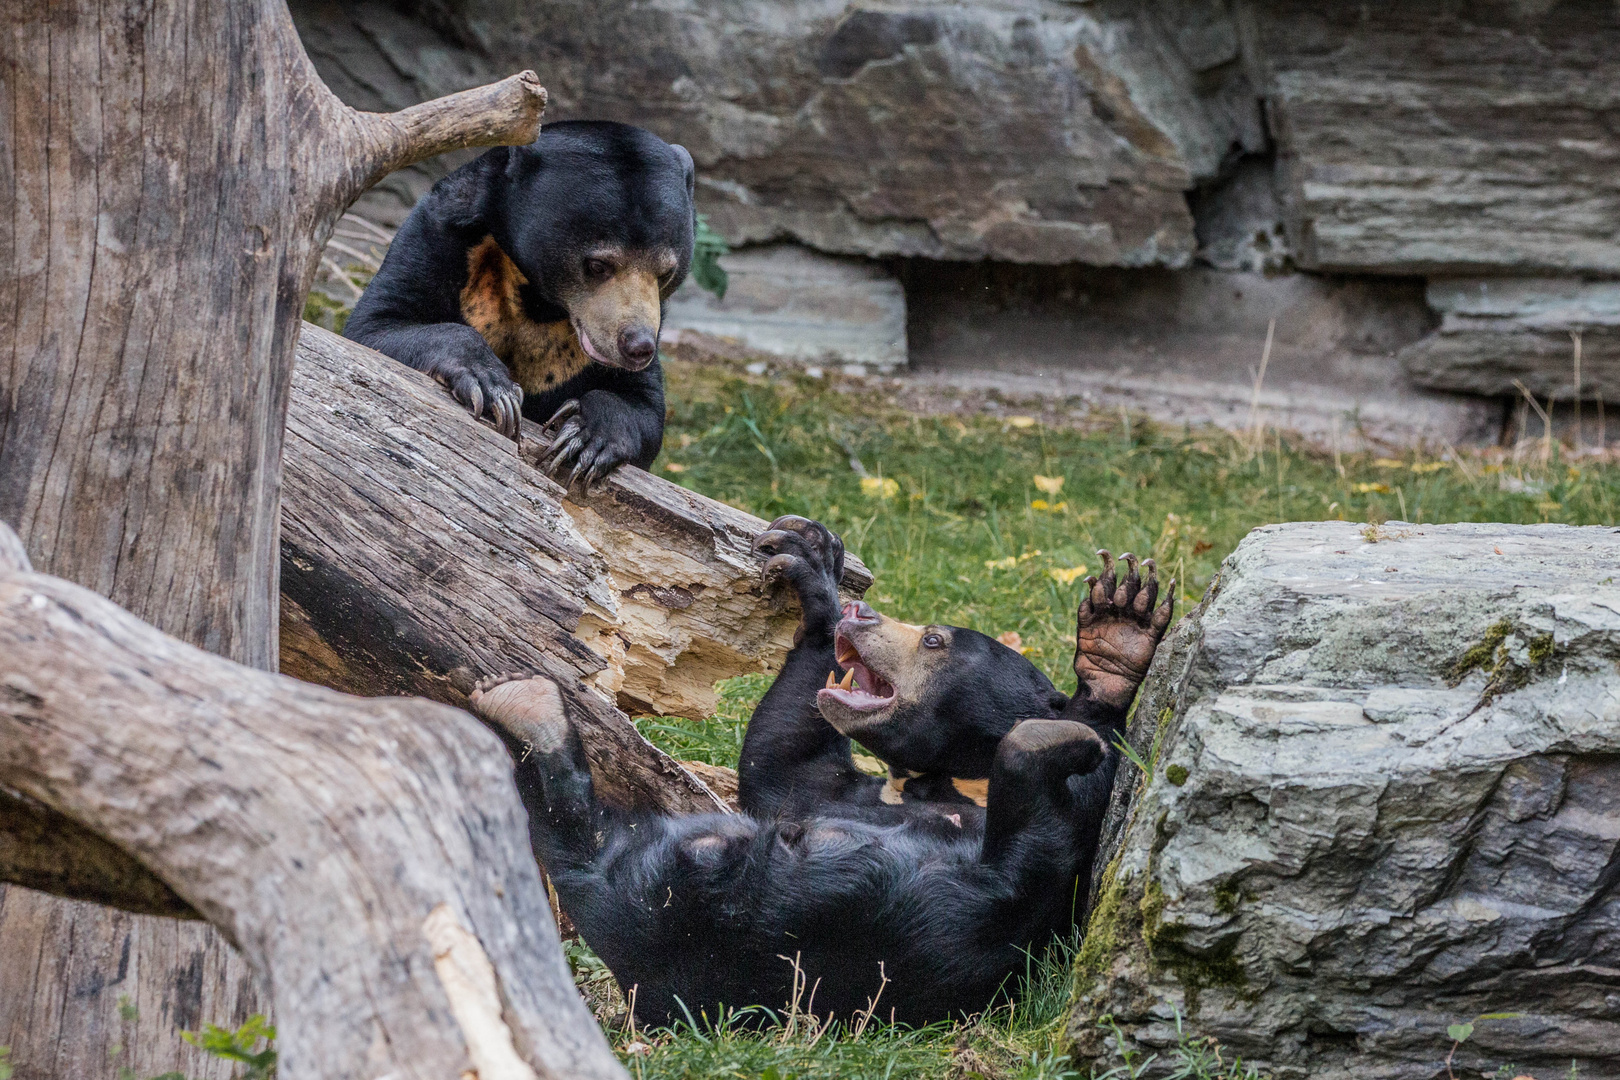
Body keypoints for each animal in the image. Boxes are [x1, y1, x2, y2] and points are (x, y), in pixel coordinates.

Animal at [345, 121, 693, 485]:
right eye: (598, 265)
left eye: (666, 272)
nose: (636, 346)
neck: (539, 299)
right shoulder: (438, 230)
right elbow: (377, 324)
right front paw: (493, 388)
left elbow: (644, 403)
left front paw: (585, 437)